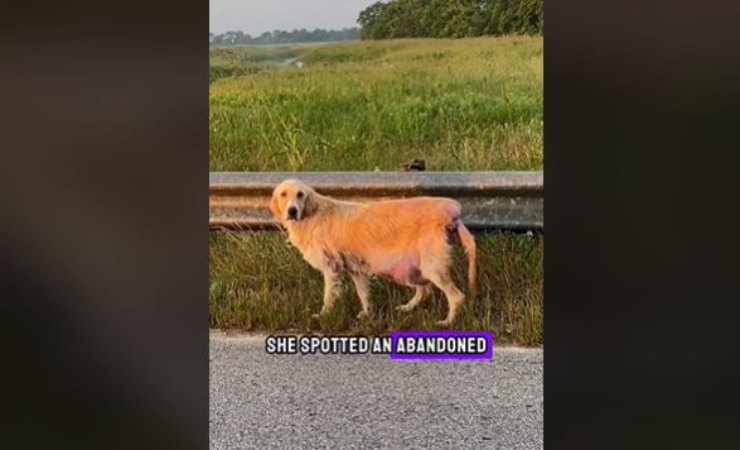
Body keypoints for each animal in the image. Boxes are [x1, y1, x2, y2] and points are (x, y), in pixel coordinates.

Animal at [268, 178, 476, 326]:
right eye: (283, 194)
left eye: (300, 194)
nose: (292, 211)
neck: (311, 215)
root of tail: (453, 211)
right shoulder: (355, 269)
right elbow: (364, 294)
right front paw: (367, 314)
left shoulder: (331, 267)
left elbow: (329, 296)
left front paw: (324, 316)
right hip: (411, 269)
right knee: (425, 290)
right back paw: (406, 308)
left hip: (431, 267)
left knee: (456, 296)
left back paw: (447, 322)